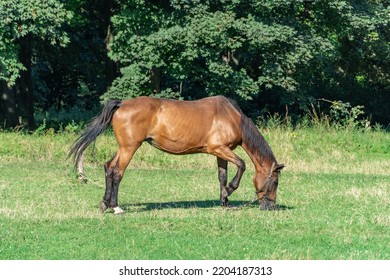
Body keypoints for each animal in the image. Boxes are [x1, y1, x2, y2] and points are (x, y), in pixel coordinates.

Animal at [69, 95, 284, 213]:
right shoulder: (219, 149)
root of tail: (122, 104)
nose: (270, 206)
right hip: (129, 148)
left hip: (124, 148)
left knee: (108, 167)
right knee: (116, 172)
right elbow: (241, 165)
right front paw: (229, 190)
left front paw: (225, 201)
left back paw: (104, 204)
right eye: (274, 182)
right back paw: (115, 207)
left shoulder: (221, 153)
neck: (232, 117)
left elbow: (222, 176)